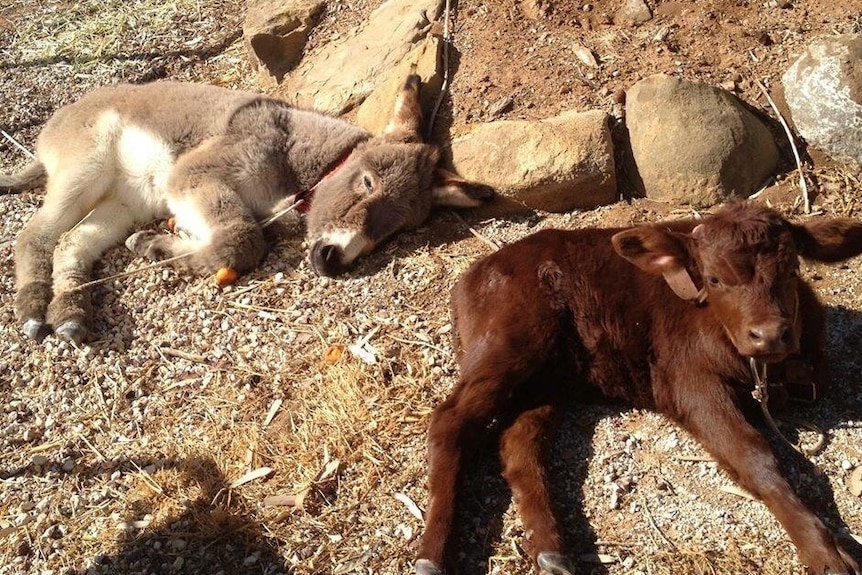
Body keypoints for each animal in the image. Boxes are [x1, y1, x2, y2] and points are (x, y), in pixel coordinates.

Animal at [1, 76, 492, 346]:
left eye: (396, 231)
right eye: (367, 182)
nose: (332, 260)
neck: (297, 163)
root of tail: (60, 117)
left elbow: (232, 237)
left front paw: (162, 246)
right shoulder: (195, 173)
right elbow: (244, 239)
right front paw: (172, 247)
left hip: (126, 202)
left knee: (70, 243)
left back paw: (69, 312)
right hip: (87, 168)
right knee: (34, 236)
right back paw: (33, 308)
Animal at [416, 202, 860, 575]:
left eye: (792, 271)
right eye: (714, 278)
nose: (768, 335)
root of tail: (474, 273)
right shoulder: (688, 381)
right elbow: (753, 454)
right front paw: (825, 554)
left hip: (546, 378)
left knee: (520, 443)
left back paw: (552, 551)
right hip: (508, 341)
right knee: (449, 422)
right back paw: (432, 555)